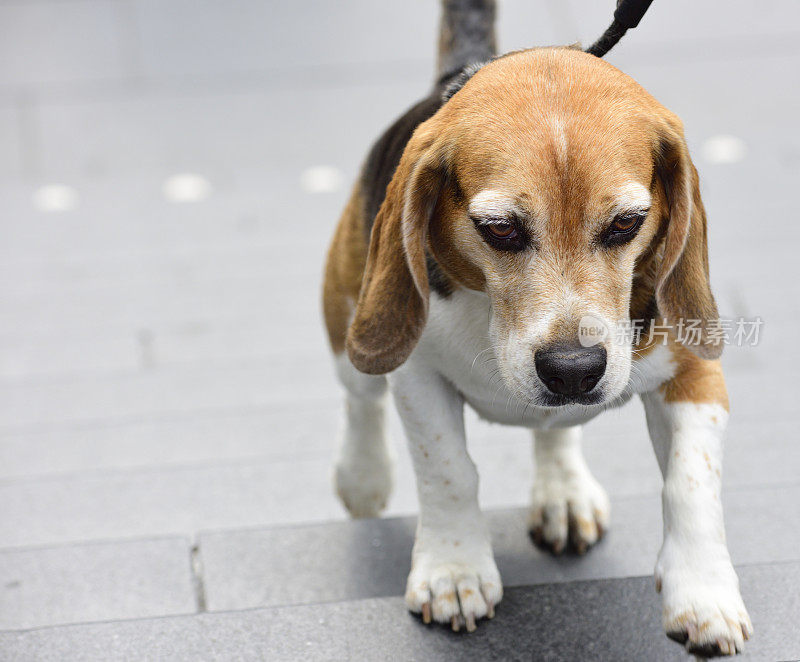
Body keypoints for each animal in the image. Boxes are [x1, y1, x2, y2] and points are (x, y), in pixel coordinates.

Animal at [320, 0, 752, 656]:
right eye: (499, 228)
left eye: (627, 223)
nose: (573, 369)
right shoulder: (416, 373)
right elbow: (448, 469)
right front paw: (453, 571)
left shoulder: (694, 372)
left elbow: (691, 482)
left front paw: (704, 592)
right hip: (356, 324)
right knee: (360, 399)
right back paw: (363, 476)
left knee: (556, 433)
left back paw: (563, 490)